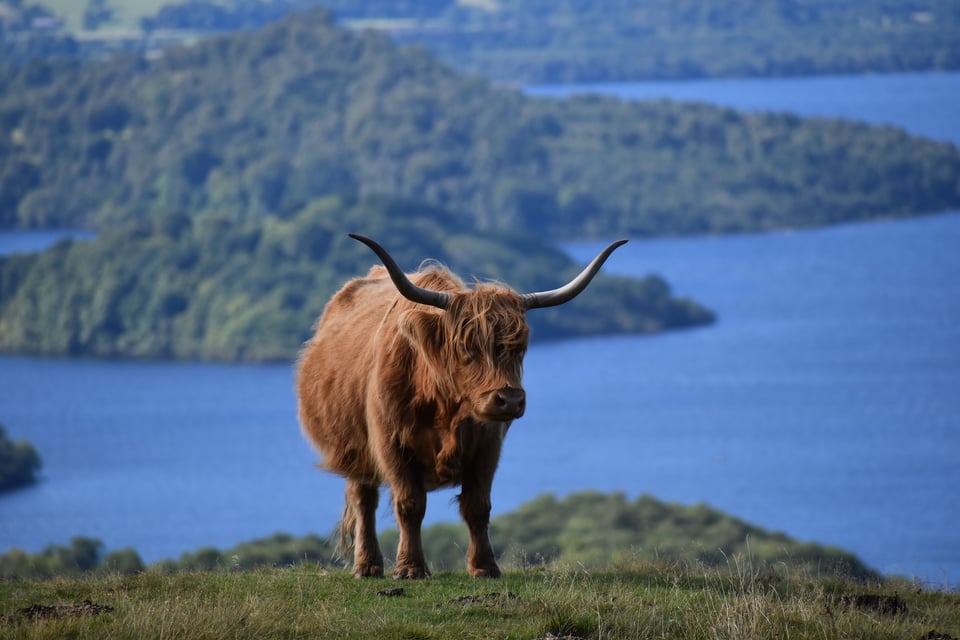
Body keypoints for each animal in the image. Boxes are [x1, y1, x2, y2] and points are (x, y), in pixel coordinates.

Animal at [296, 233, 627, 579]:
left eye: (520, 347)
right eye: (465, 347)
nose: (509, 400)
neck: (444, 408)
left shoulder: (488, 445)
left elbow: (477, 506)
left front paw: (485, 567)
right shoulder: (389, 443)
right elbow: (410, 504)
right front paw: (411, 568)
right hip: (354, 449)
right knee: (364, 499)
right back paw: (367, 566)